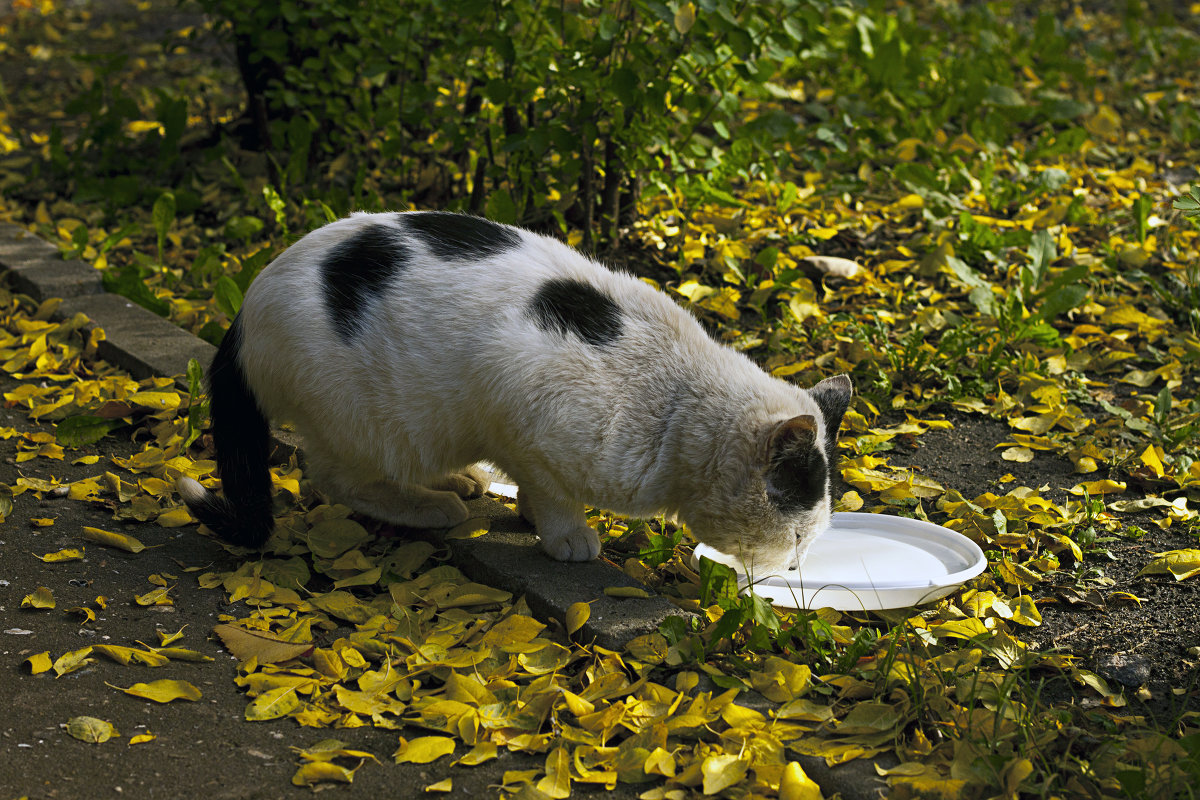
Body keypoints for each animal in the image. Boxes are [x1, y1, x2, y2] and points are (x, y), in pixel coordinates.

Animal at [177, 211, 854, 575]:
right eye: (797, 537)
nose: (796, 567)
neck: (676, 405)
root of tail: (241, 320)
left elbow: (535, 485)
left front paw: (526, 512)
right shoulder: (521, 398)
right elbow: (551, 491)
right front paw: (566, 536)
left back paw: (460, 481)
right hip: (373, 421)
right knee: (332, 478)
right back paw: (435, 505)